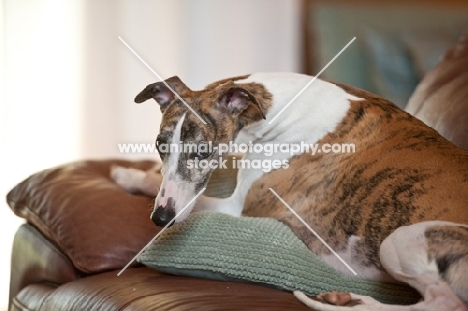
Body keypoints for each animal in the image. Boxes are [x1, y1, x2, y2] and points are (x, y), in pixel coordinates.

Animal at [112, 73, 468, 311]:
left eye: (202, 151)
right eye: (160, 146)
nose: (162, 218)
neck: (279, 109)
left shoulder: (238, 207)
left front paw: (128, 176)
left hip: (402, 239)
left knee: (444, 302)